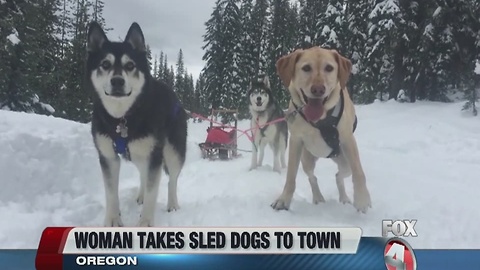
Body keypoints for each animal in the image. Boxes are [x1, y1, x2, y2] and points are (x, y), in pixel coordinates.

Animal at [86, 22, 188, 227]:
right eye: (105, 64)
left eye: (130, 65)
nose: (117, 81)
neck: (122, 118)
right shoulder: (108, 157)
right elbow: (111, 193)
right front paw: (112, 220)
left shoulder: (154, 155)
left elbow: (152, 192)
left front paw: (145, 223)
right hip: (140, 154)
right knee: (143, 174)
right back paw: (140, 195)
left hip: (173, 152)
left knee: (172, 180)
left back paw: (172, 204)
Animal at [270, 47, 372, 214]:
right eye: (306, 68)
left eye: (329, 68)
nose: (318, 89)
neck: (321, 120)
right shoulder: (296, 141)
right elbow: (291, 176)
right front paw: (283, 200)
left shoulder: (347, 139)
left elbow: (359, 172)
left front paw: (362, 199)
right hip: (307, 159)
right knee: (313, 177)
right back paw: (318, 197)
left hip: (344, 162)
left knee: (339, 175)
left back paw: (344, 199)